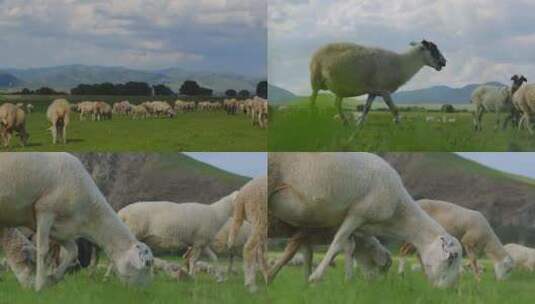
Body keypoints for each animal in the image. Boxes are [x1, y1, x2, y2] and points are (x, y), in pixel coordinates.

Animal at [0, 153, 155, 290]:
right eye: (147, 264)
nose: (146, 292)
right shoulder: (45, 211)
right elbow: (43, 250)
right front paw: (40, 287)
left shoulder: (61, 229)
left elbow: (73, 251)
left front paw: (52, 278)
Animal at [270, 153, 462, 288]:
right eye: (452, 258)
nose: (449, 290)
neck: (397, 214)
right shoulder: (357, 214)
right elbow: (338, 242)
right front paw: (315, 277)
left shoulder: (358, 223)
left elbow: (349, 247)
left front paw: (348, 280)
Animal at [310, 39, 448, 125]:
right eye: (433, 49)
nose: (444, 62)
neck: (402, 63)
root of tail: (319, 49)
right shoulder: (384, 90)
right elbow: (394, 109)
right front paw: (401, 126)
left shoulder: (373, 91)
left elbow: (366, 108)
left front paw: (359, 124)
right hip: (316, 80)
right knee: (313, 99)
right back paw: (312, 118)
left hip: (340, 87)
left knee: (337, 104)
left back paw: (345, 122)